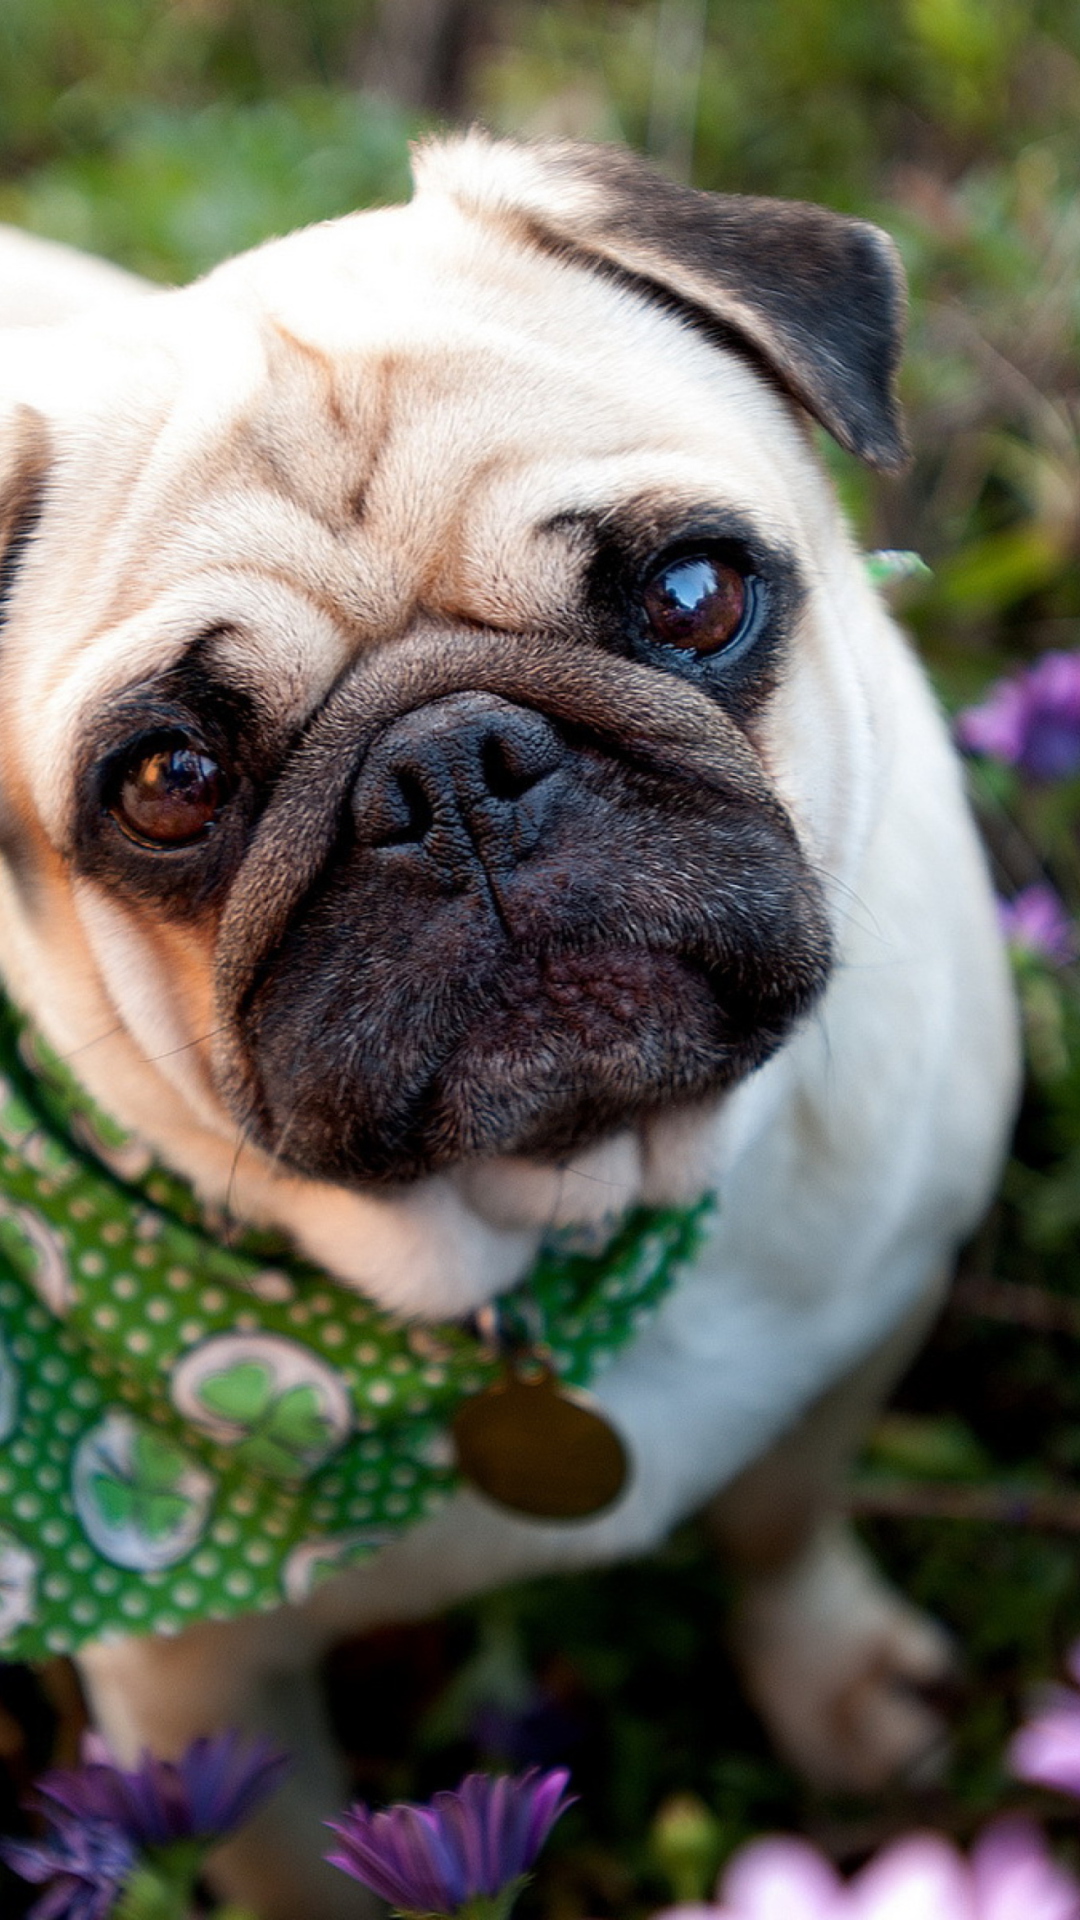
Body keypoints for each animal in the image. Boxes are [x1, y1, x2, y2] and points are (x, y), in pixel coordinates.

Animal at [0, 127, 1014, 1912]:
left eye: (693, 596)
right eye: (170, 780)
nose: (450, 772)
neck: (561, 1227)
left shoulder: (868, 1321)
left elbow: (784, 1526)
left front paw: (839, 1690)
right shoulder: (202, 1690)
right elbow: (287, 1861)